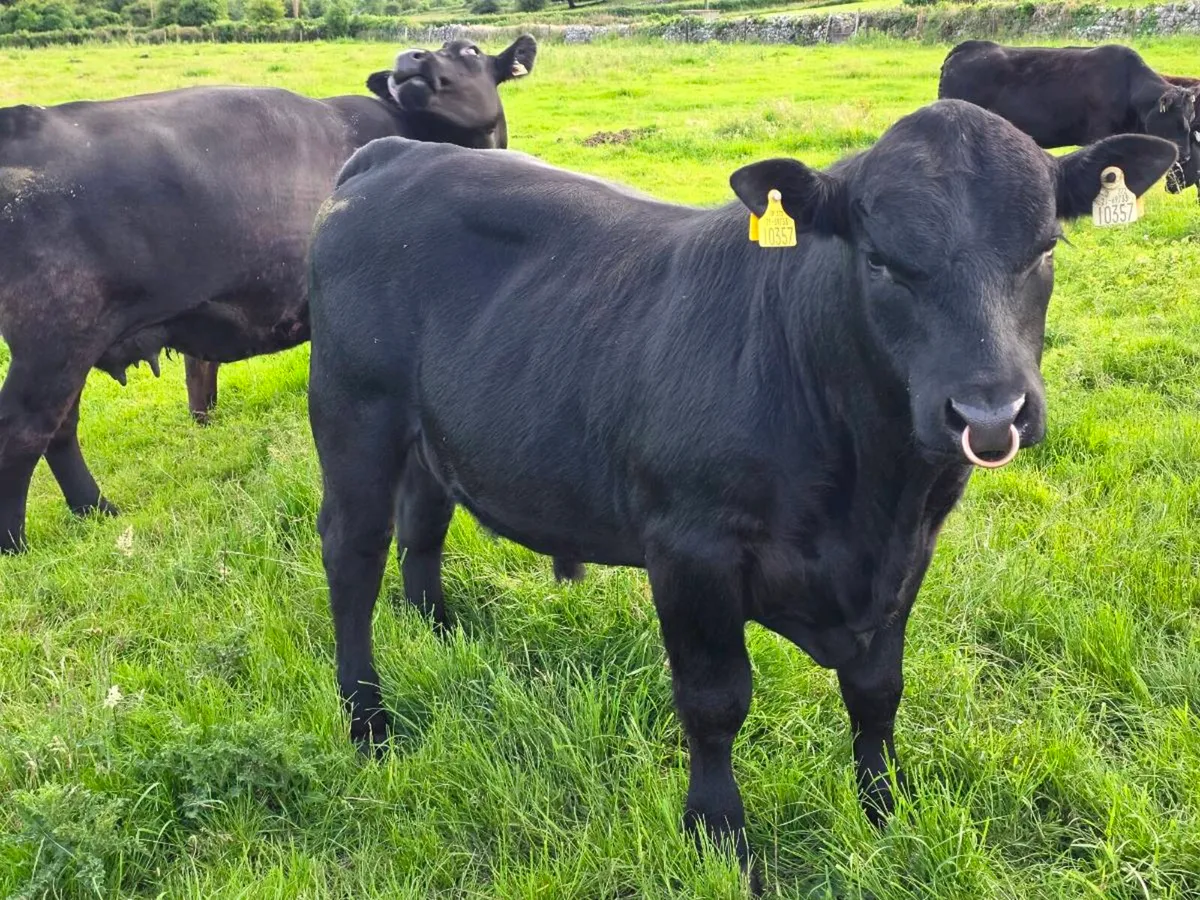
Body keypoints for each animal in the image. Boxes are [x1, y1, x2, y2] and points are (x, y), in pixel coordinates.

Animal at [0, 36, 537, 553]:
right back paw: (16, 544)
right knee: (23, 434)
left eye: (468, 50)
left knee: (60, 429)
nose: (409, 56)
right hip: (54, 340)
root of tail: (22, 120)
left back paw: (95, 509)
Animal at [305, 99, 1175, 878]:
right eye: (881, 261)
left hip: (430, 436)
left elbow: (878, 692)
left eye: (1044, 249)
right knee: (353, 560)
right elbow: (716, 700)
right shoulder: (690, 551)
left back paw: (444, 634)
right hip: (354, 417)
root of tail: (396, 154)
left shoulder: (913, 549)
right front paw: (720, 837)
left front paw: (883, 808)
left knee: (422, 528)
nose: (991, 413)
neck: (873, 492)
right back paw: (368, 721)